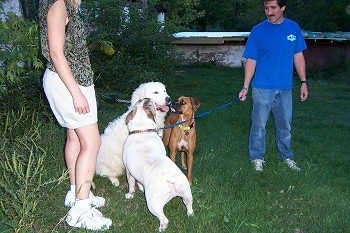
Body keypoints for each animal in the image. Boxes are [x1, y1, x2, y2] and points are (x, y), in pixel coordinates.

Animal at [123, 97, 194, 232]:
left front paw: (130, 194)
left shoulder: (129, 171)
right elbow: (140, 183)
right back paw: (190, 215)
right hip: (187, 193)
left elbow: (131, 185)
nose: (145, 98)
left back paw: (161, 229)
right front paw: (141, 188)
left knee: (164, 219)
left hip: (153, 204)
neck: (142, 130)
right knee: (189, 207)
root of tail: (171, 179)